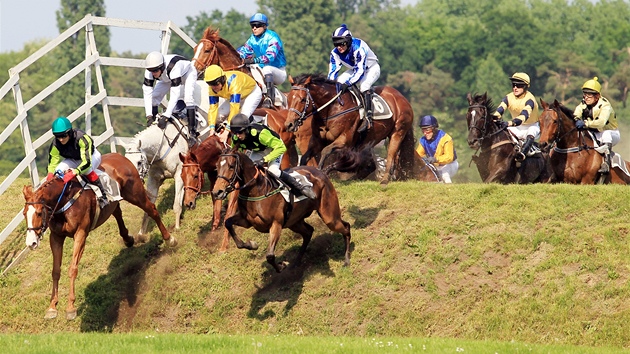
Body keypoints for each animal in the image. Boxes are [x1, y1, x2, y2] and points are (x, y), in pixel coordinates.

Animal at [23, 153, 177, 320]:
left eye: (39, 213)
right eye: (24, 214)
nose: (31, 243)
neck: (64, 200)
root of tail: (120, 156)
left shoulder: (81, 233)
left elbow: (72, 268)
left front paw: (70, 307)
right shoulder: (56, 237)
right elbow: (55, 271)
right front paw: (52, 306)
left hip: (135, 194)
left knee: (152, 210)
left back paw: (169, 239)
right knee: (117, 211)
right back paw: (128, 239)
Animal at [211, 151, 350, 272]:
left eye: (231, 166)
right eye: (216, 167)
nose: (217, 192)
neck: (257, 190)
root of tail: (320, 171)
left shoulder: (276, 224)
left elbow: (270, 255)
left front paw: (282, 265)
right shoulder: (247, 221)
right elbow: (228, 223)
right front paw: (252, 245)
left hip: (329, 217)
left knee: (346, 227)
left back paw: (347, 260)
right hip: (294, 222)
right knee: (308, 232)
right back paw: (297, 261)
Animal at [286, 74, 418, 185]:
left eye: (303, 99)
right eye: (288, 99)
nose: (289, 124)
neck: (331, 109)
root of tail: (401, 97)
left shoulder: (345, 140)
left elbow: (326, 151)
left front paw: (321, 171)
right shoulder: (318, 141)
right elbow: (304, 157)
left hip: (397, 132)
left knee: (390, 156)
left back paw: (385, 179)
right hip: (368, 141)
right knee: (370, 165)